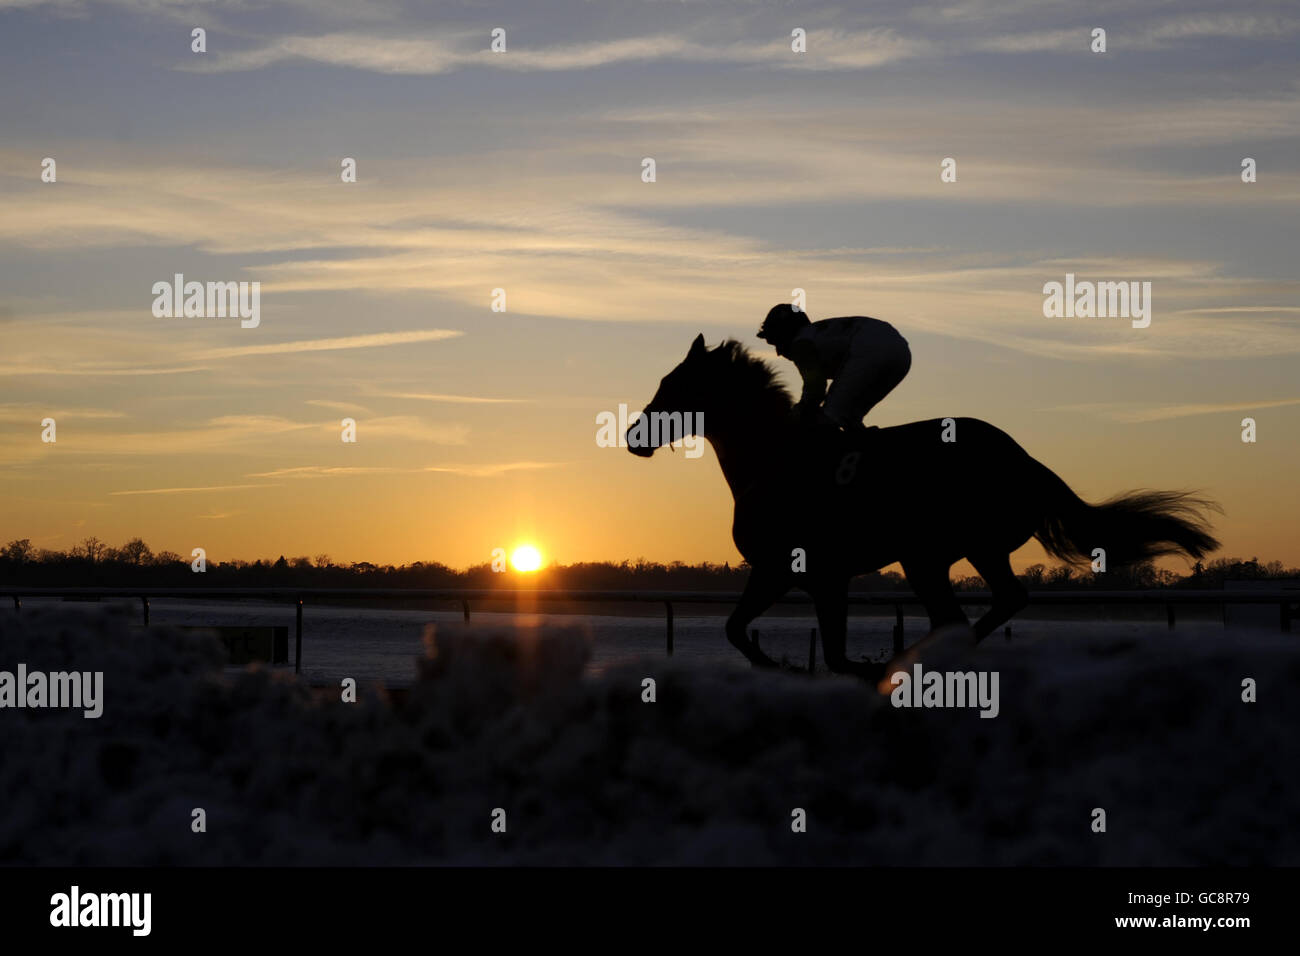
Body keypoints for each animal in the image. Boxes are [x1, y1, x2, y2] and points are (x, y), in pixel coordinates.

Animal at [629, 335, 1216, 681]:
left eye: (674, 384)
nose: (635, 435)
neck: (773, 460)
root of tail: (1027, 461)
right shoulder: (788, 574)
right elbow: (739, 629)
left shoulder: (806, 571)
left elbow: (825, 652)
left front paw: (800, 664)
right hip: (966, 552)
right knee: (996, 603)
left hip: (930, 554)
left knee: (963, 614)